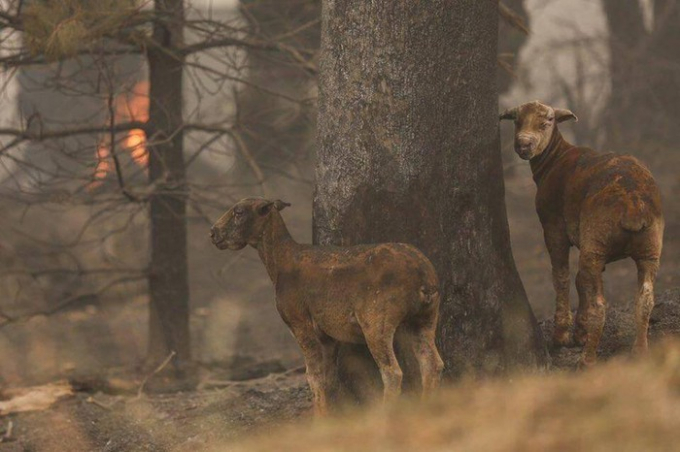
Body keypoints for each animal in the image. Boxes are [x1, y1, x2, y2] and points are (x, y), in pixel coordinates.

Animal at [210, 196, 444, 414]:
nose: (213, 233)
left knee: (392, 372)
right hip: (425, 318)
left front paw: (319, 418)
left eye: (239, 212)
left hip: (377, 322)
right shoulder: (328, 335)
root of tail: (423, 275)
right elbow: (329, 377)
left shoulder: (299, 322)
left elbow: (313, 375)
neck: (280, 263)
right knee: (432, 363)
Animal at [500, 100, 664, 368]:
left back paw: (587, 360)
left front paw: (562, 335)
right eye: (516, 120)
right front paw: (580, 331)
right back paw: (640, 352)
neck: (555, 159)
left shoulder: (553, 226)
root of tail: (633, 207)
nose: (523, 144)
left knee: (600, 305)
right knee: (645, 299)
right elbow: (580, 280)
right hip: (648, 246)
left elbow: (562, 276)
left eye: (547, 122)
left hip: (597, 239)